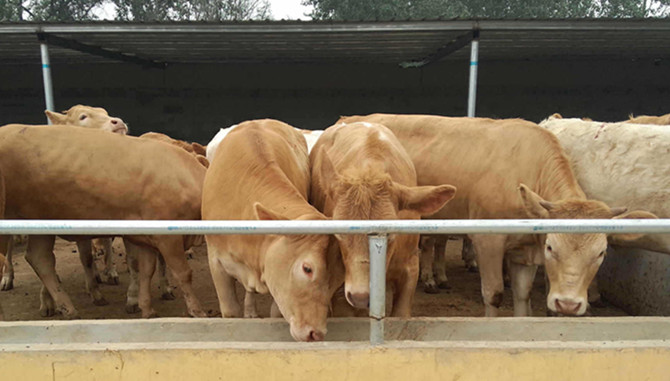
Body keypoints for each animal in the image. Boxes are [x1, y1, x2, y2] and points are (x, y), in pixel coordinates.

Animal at [0, 124, 207, 318]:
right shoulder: (168, 239)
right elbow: (183, 273)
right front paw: (197, 311)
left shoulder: (147, 239)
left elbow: (146, 271)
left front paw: (147, 309)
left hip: (41, 224)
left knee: (39, 259)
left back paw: (68, 309)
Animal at [342, 114, 656, 316]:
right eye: (551, 247)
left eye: (601, 253)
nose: (568, 304)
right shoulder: (488, 242)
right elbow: (493, 294)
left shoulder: (523, 251)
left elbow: (522, 295)